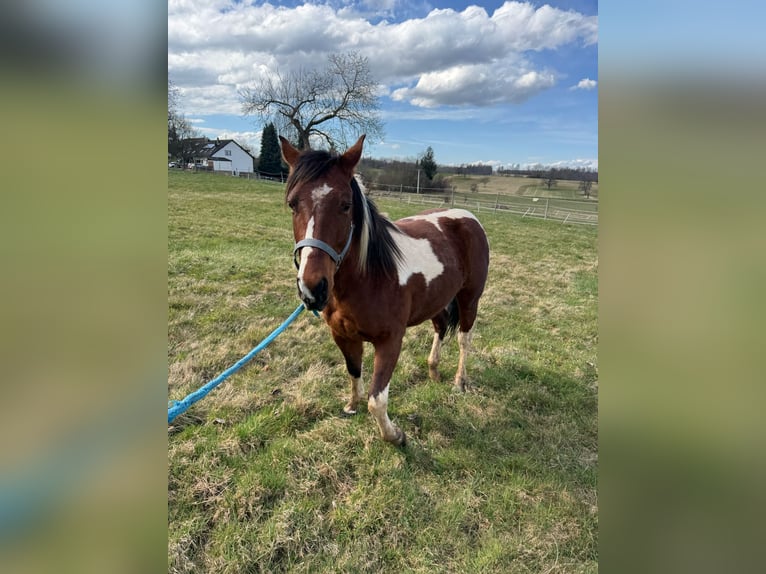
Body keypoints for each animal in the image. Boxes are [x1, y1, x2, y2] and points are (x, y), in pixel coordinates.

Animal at [280, 135, 489, 446]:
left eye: (345, 205)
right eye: (292, 204)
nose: (313, 288)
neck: (369, 277)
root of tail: (466, 216)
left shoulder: (390, 341)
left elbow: (376, 400)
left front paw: (395, 436)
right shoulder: (343, 336)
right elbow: (354, 372)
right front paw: (351, 406)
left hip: (469, 298)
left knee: (465, 338)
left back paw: (458, 382)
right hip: (437, 300)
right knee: (440, 327)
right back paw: (433, 370)